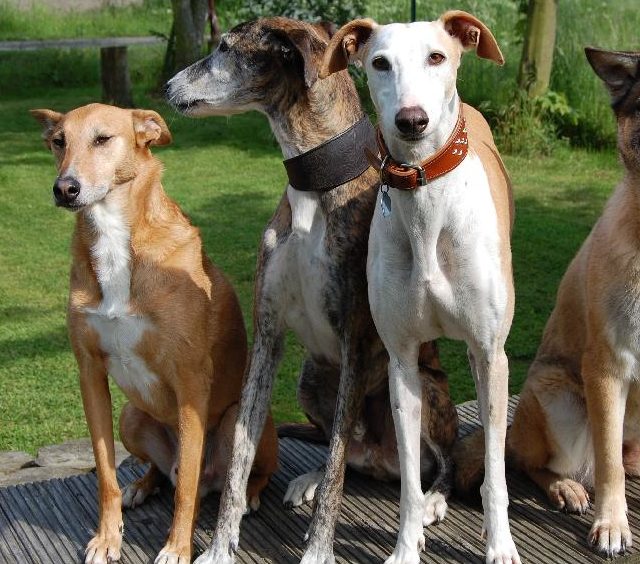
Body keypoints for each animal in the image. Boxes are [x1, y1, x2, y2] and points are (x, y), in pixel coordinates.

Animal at [31, 102, 278, 564]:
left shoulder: (191, 380)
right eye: (58, 141)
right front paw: (107, 538)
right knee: (165, 472)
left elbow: (186, 493)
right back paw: (142, 486)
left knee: (226, 479)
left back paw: (246, 497)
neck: (115, 240)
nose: (65, 189)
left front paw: (177, 548)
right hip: (130, 416)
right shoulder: (89, 373)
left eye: (102, 139)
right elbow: (105, 474)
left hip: (238, 420)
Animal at [452, 47, 640, 556]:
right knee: (541, 461)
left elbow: (617, 462)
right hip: (559, 398)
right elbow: (609, 466)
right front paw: (612, 525)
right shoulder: (608, 365)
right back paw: (566, 487)